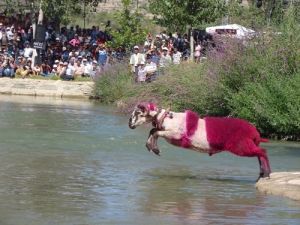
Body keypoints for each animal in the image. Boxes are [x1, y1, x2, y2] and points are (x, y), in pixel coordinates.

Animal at [127, 102, 270, 181]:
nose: (129, 124)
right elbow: (153, 131)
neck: (166, 118)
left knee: (262, 152)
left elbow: (155, 132)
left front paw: (154, 148)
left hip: (241, 147)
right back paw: (261, 174)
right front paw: (151, 146)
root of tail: (254, 132)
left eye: (138, 113)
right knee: (259, 153)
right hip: (247, 145)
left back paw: (267, 173)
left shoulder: (175, 135)